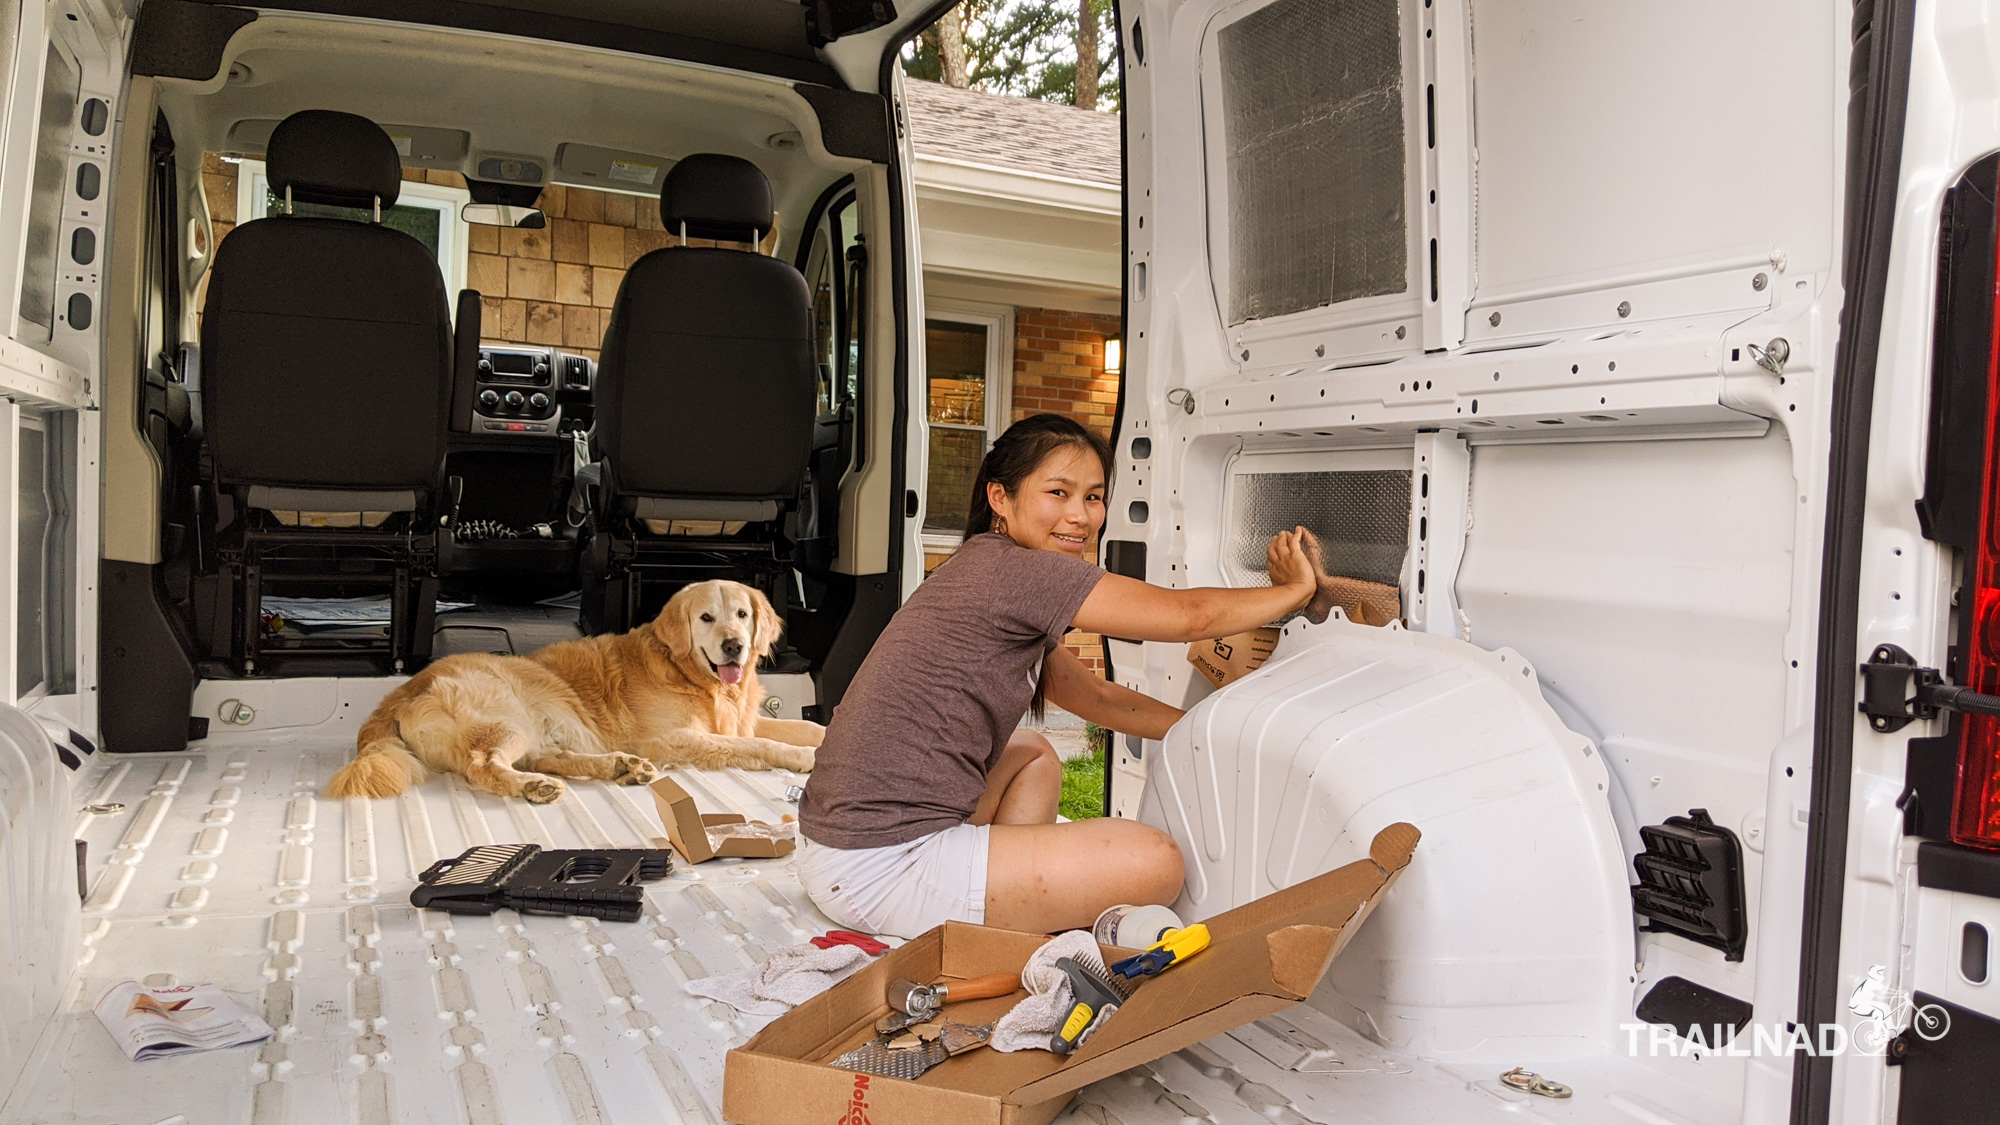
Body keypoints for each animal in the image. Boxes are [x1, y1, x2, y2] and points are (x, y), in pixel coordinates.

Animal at [326, 576, 820, 796]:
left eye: (742, 614)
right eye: (705, 618)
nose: (734, 646)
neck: (691, 675)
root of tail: (400, 691)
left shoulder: (739, 722)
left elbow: (805, 729)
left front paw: (821, 740)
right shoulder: (672, 740)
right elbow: (759, 747)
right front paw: (802, 758)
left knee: (548, 757)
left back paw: (620, 767)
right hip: (506, 717)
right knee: (484, 765)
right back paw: (532, 787)